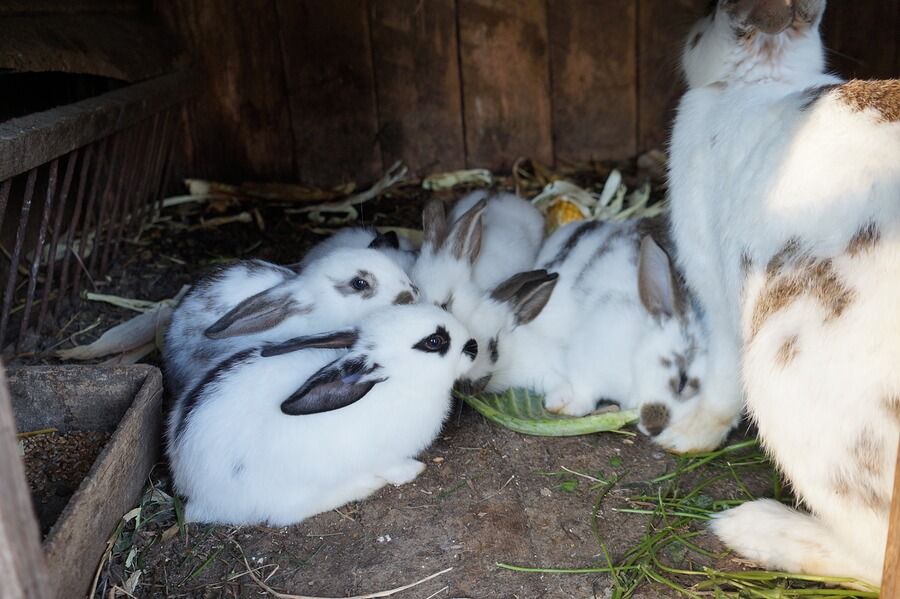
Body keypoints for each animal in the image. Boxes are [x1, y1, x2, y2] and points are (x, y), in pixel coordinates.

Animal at [167, 304, 478, 524]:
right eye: (434, 342)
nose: (474, 346)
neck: (397, 384)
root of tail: (192, 489)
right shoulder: (383, 455)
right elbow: (393, 467)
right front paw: (413, 471)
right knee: (287, 515)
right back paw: (364, 486)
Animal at [668, 0, 900, 584]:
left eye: (703, 23)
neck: (761, 80)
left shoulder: (716, 294)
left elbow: (721, 377)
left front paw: (686, 435)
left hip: (789, 384)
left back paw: (754, 528)